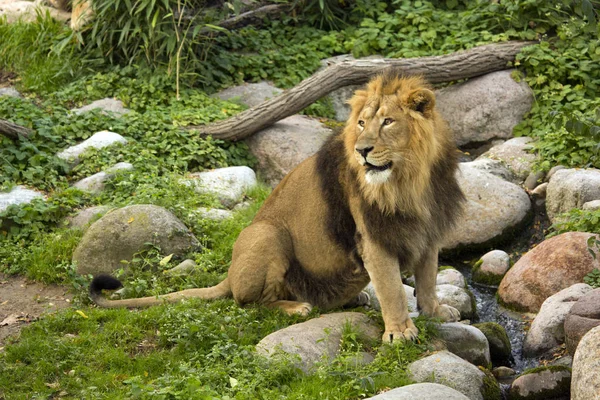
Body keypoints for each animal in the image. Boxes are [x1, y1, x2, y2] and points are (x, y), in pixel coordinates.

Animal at [90, 73, 464, 342]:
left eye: (388, 122)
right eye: (361, 123)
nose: (362, 150)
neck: (412, 180)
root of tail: (229, 275)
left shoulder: (429, 230)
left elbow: (427, 278)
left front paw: (435, 312)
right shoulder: (373, 238)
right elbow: (391, 290)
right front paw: (399, 332)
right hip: (267, 233)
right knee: (249, 302)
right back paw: (297, 306)